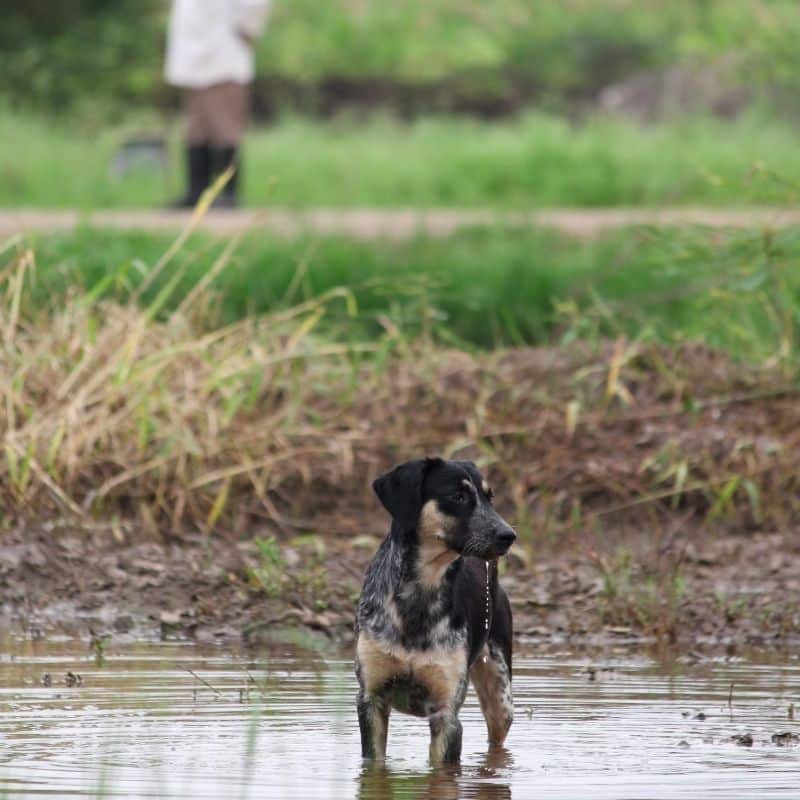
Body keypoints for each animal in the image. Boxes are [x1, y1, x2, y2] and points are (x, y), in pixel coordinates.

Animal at [354, 456, 516, 764]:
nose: (509, 535)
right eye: (458, 496)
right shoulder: (371, 699)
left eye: (489, 498)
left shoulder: (447, 714)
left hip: (501, 697)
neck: (420, 592)